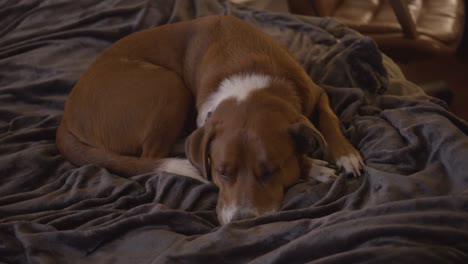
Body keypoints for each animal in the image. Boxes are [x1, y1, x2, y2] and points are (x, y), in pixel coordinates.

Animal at [54, 14, 362, 225]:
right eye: (221, 172)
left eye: (270, 171)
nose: (241, 222)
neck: (250, 76)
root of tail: (65, 121)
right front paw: (312, 166)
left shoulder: (317, 93)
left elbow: (329, 119)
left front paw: (345, 154)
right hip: (169, 85)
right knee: (151, 156)